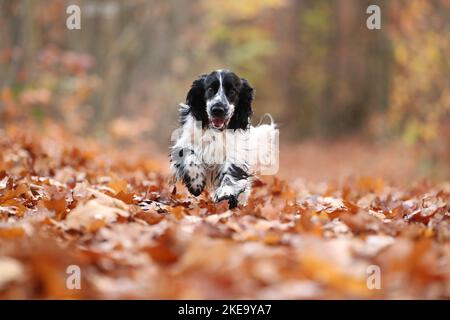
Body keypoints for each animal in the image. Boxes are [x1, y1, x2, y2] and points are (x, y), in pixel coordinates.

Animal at [169, 69, 274, 209]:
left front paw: (226, 194)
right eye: (210, 89)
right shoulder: (184, 142)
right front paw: (195, 182)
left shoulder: (235, 152)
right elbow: (190, 156)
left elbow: (231, 172)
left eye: (232, 91)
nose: (217, 109)